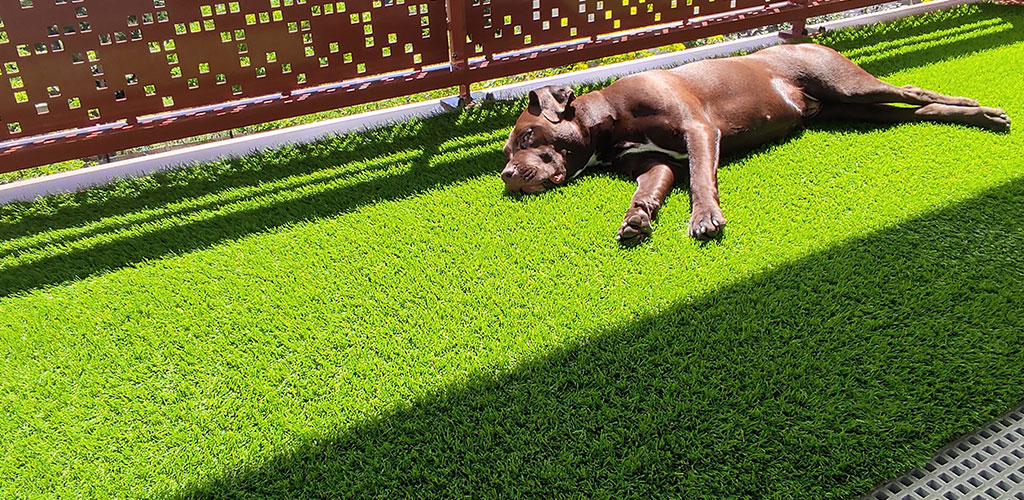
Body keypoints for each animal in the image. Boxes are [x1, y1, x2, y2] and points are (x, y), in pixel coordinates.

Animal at [501, 43, 1007, 243]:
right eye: (506, 153)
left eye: (528, 135)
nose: (506, 175)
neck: (608, 121)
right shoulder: (654, 165)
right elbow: (651, 188)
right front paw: (637, 219)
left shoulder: (699, 131)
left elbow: (701, 179)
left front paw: (704, 218)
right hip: (856, 111)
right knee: (918, 110)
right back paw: (974, 115)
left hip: (849, 86)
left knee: (915, 91)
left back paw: (980, 108)